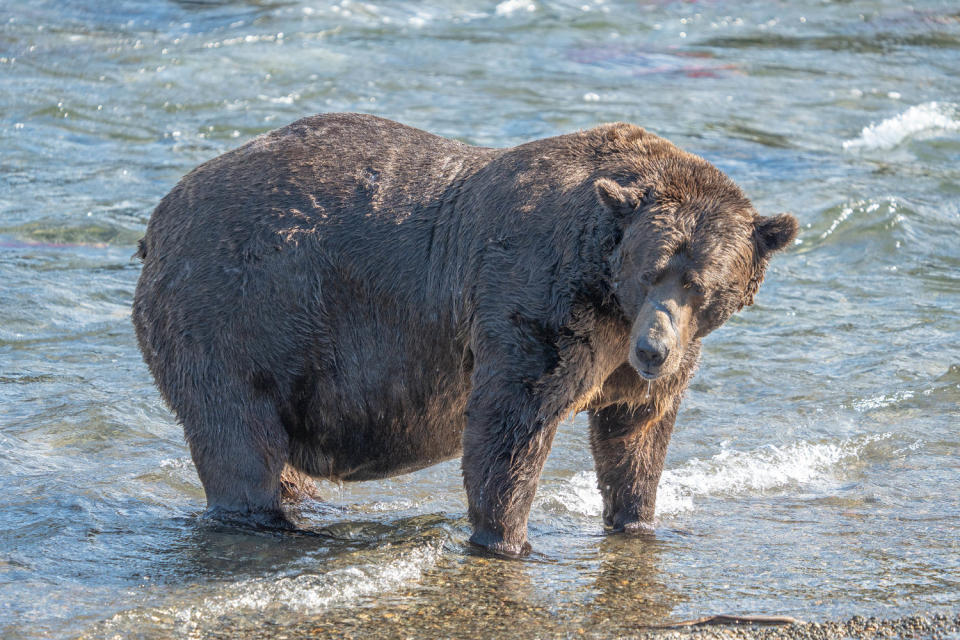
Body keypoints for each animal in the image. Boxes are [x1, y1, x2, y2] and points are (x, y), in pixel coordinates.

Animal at [133, 114, 796, 556]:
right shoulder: (535, 300)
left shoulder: (630, 358)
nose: (654, 349)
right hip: (237, 311)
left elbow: (636, 432)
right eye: (652, 270)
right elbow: (510, 424)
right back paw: (269, 521)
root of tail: (158, 218)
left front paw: (636, 521)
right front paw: (506, 539)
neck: (608, 293)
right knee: (238, 435)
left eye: (699, 283)